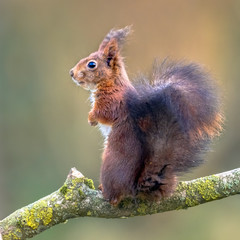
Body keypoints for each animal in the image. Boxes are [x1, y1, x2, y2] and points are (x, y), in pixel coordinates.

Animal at [69, 26, 223, 206]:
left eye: (91, 64)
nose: (71, 73)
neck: (111, 82)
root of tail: (135, 186)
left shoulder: (113, 101)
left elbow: (103, 113)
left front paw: (91, 118)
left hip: (110, 164)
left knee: (115, 195)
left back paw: (107, 193)